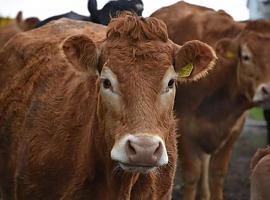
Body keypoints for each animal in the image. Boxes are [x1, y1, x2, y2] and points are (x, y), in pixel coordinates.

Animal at [152, 1, 270, 200]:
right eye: (246, 56)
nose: (268, 90)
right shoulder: (183, 128)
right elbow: (192, 173)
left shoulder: (235, 129)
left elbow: (217, 172)